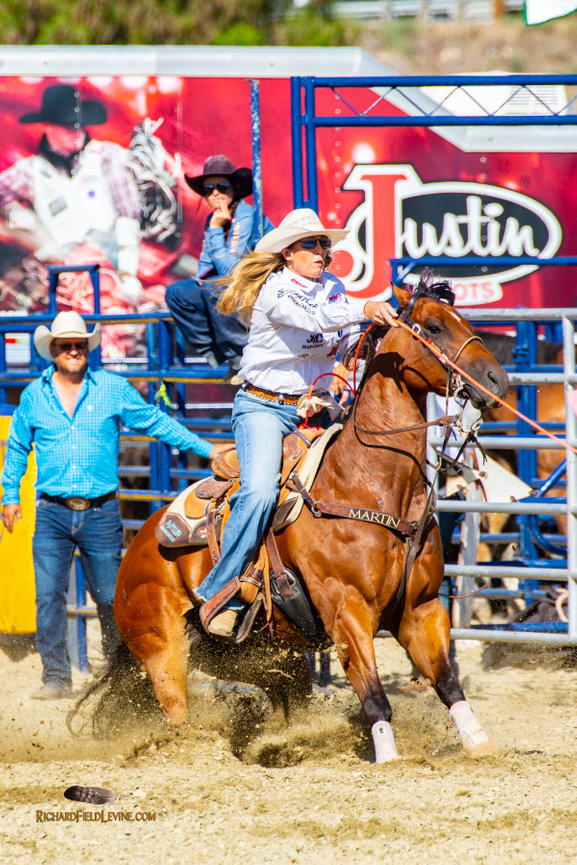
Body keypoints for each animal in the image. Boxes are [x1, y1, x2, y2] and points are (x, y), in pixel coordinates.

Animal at [80, 277, 509, 763]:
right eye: (433, 327)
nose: (497, 381)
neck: (366, 483)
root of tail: (135, 549)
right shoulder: (347, 611)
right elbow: (375, 696)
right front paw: (387, 756)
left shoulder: (422, 609)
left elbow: (448, 682)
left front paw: (480, 743)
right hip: (163, 651)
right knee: (176, 709)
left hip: (260, 656)